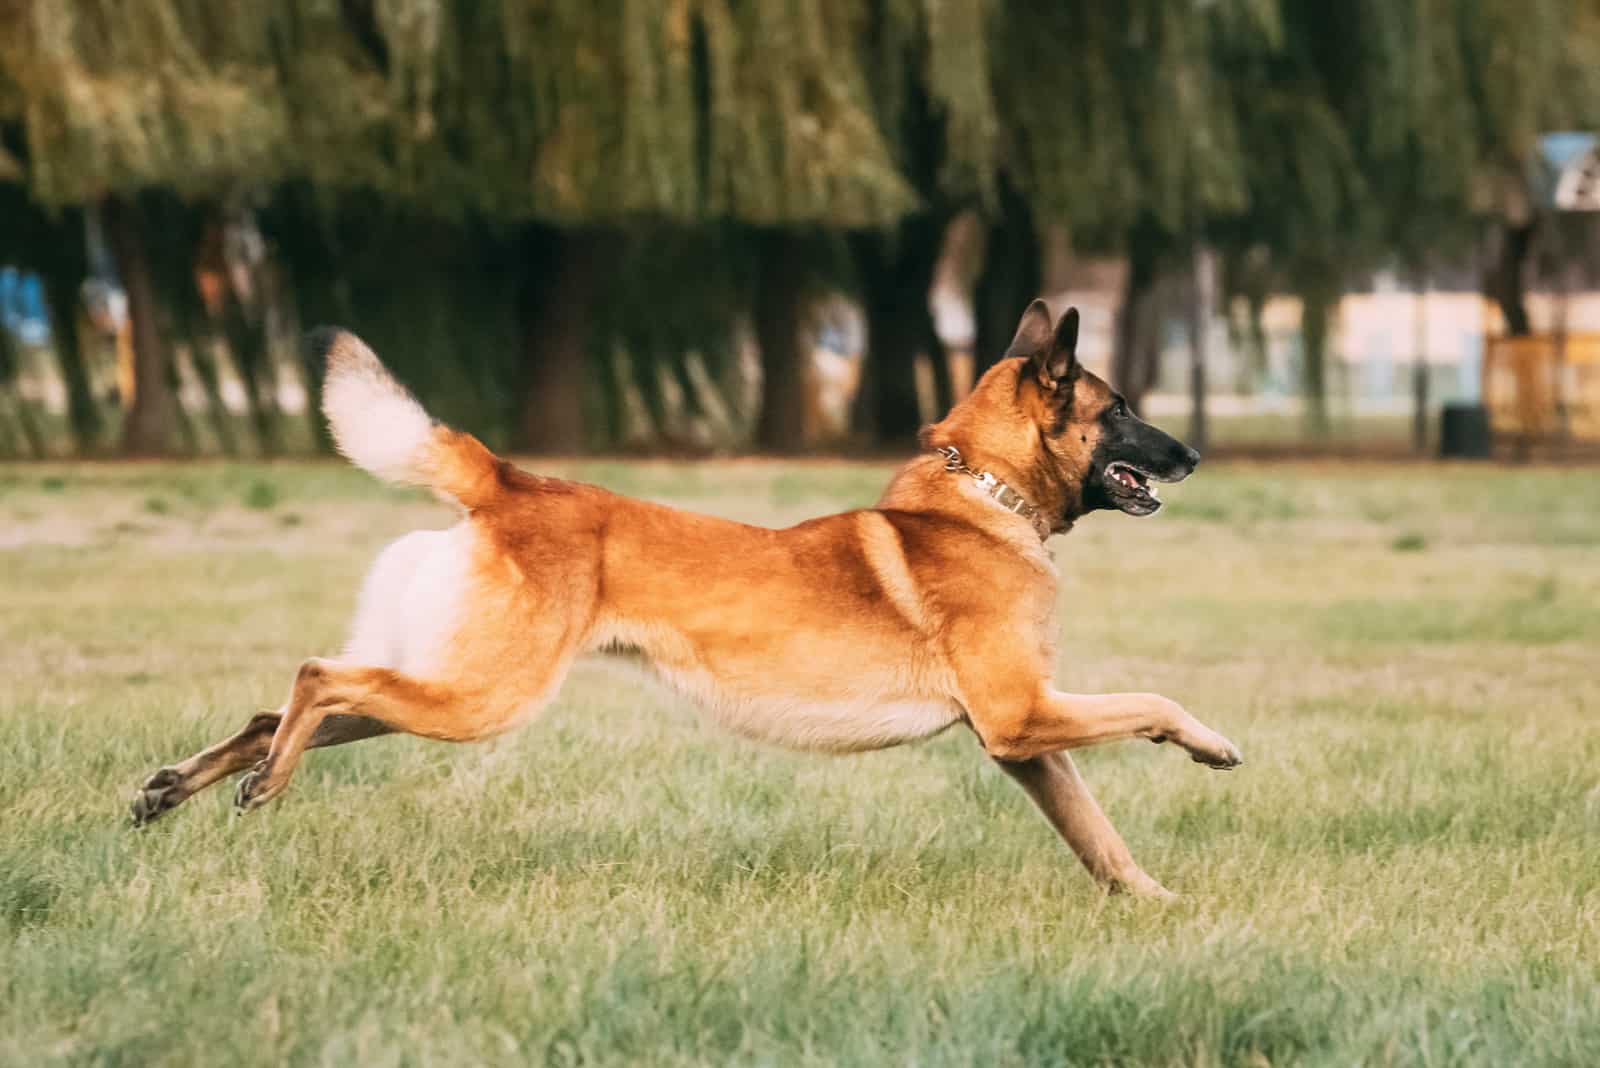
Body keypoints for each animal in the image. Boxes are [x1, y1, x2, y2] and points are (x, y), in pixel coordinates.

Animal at [131, 298, 1241, 895]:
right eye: (1120, 411)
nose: (1194, 454)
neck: (982, 498)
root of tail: (508, 480)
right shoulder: (1023, 717)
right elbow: (1152, 701)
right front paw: (1210, 744)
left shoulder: (1022, 743)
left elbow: (1098, 836)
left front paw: (1155, 903)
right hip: (479, 696)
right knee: (315, 677)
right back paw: (261, 786)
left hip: (440, 686)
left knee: (277, 708)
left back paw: (181, 787)